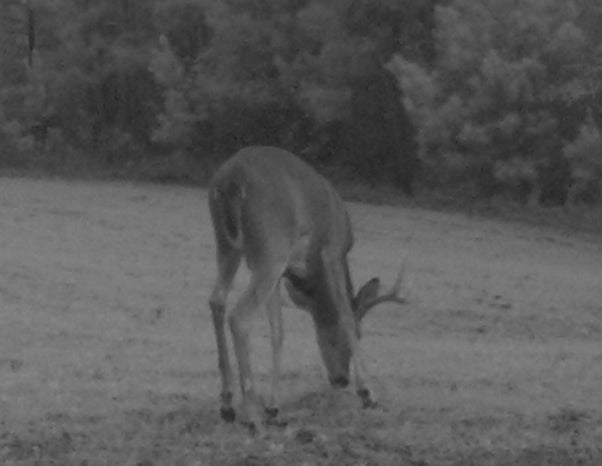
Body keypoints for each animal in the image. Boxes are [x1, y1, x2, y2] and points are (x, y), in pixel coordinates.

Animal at [205, 147, 404, 434]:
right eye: (359, 334)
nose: (340, 379)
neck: (310, 274)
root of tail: (231, 178)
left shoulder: (283, 272)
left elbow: (278, 331)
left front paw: (274, 408)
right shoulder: (332, 251)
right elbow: (345, 314)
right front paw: (368, 393)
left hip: (227, 244)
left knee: (217, 300)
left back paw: (228, 406)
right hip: (271, 247)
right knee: (239, 315)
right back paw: (252, 417)